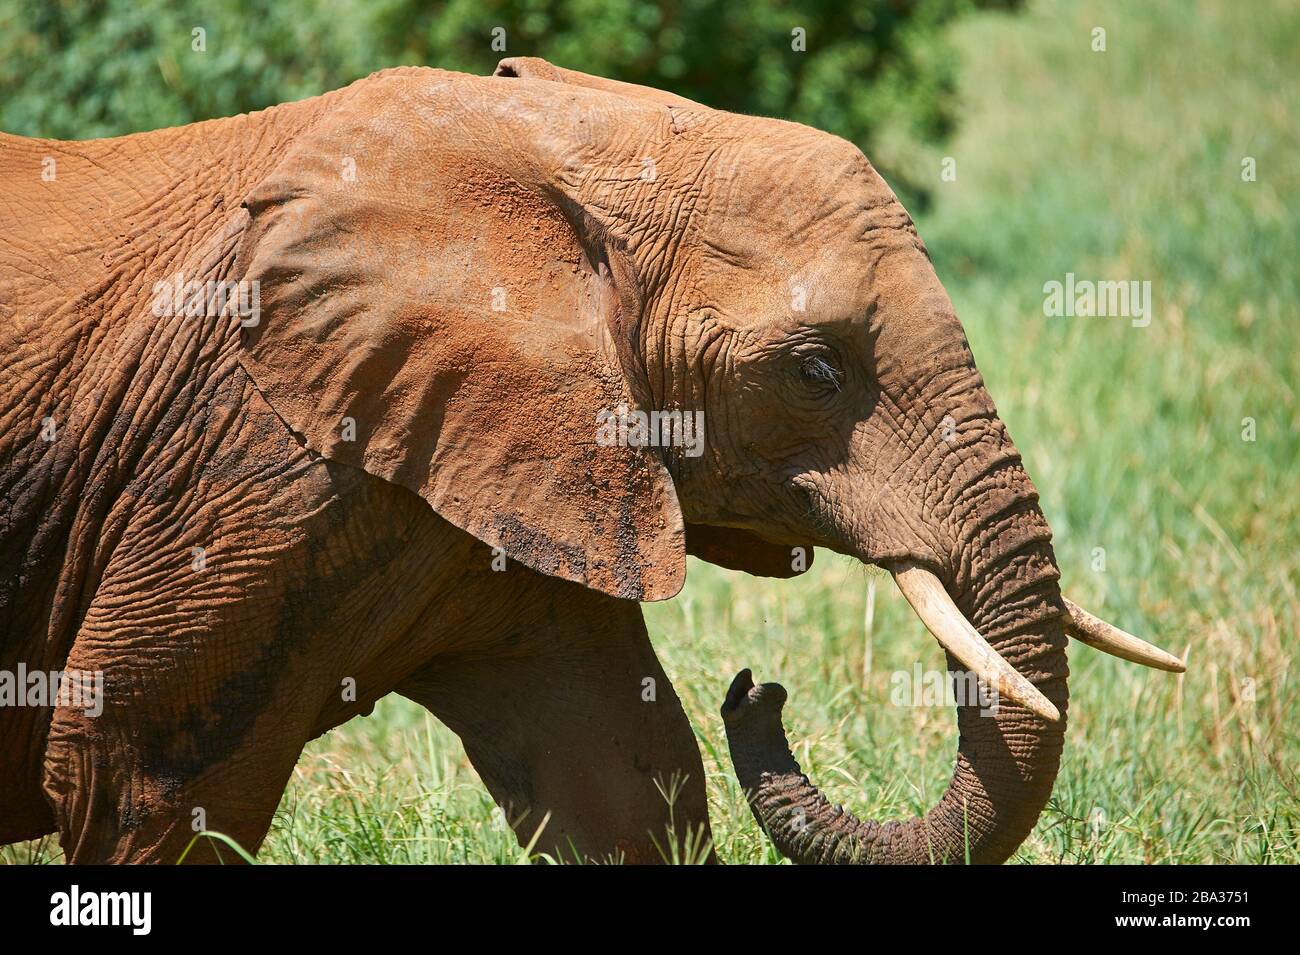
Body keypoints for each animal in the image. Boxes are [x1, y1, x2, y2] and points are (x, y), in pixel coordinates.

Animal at [0, 59, 1180, 867]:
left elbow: (617, 774)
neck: (559, 144)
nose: (758, 688)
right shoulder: (251, 460)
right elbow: (141, 774)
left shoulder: (520, 458)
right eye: (816, 371)